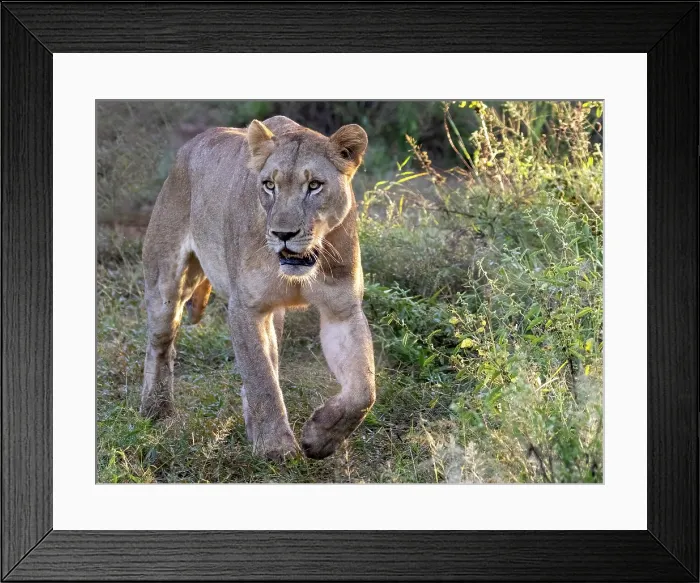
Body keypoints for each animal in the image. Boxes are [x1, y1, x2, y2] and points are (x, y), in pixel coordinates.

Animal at [140, 115, 376, 461]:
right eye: (269, 185)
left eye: (314, 185)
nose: (283, 234)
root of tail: (187, 147)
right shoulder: (246, 308)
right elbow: (260, 377)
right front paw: (275, 447)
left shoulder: (342, 310)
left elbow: (363, 390)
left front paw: (321, 437)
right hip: (166, 283)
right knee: (161, 343)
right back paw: (155, 409)